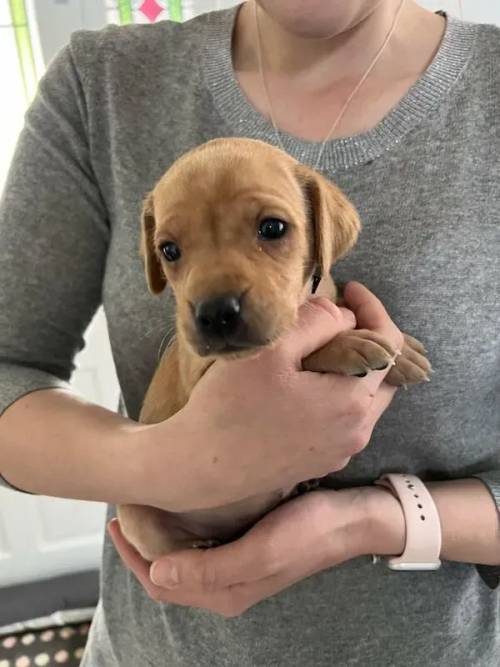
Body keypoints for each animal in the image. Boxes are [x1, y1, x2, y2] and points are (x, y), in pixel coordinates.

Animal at [117, 138, 430, 560]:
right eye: (168, 250)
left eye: (272, 228)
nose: (215, 313)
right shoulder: (202, 374)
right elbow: (302, 346)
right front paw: (346, 344)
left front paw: (404, 349)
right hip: (136, 516)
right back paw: (201, 544)